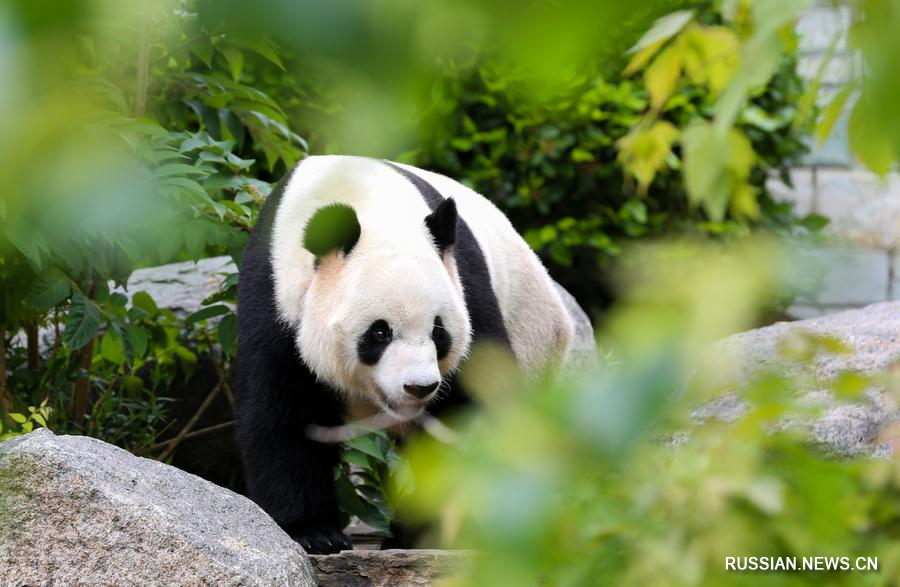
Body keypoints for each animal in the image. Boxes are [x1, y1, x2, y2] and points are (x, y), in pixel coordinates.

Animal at [236, 155, 589, 554]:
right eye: (379, 332)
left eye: (438, 331)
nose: (419, 387)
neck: (365, 201)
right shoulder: (275, 293)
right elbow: (282, 412)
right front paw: (315, 533)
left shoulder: (464, 285)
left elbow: (472, 409)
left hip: (536, 341)